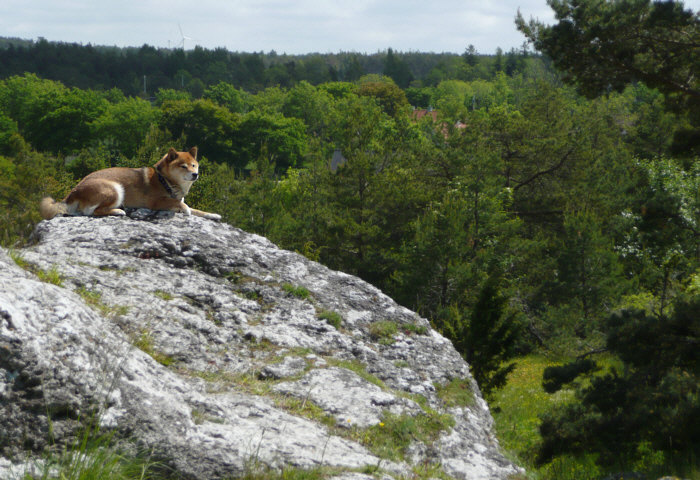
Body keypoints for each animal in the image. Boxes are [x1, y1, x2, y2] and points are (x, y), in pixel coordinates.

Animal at [39, 147, 221, 221]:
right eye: (183, 166)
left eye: (194, 165)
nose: (195, 174)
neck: (164, 180)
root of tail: (73, 191)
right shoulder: (156, 202)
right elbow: (183, 206)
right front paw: (186, 210)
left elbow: (198, 210)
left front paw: (213, 215)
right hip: (116, 188)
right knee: (92, 212)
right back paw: (117, 211)